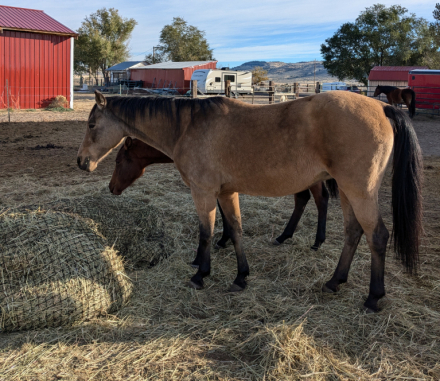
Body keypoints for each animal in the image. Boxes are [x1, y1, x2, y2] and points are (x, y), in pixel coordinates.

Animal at [108, 137, 338, 252]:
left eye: (118, 161)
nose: (111, 188)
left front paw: (223, 240)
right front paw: (225, 239)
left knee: (321, 200)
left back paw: (317, 242)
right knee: (302, 200)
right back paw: (283, 237)